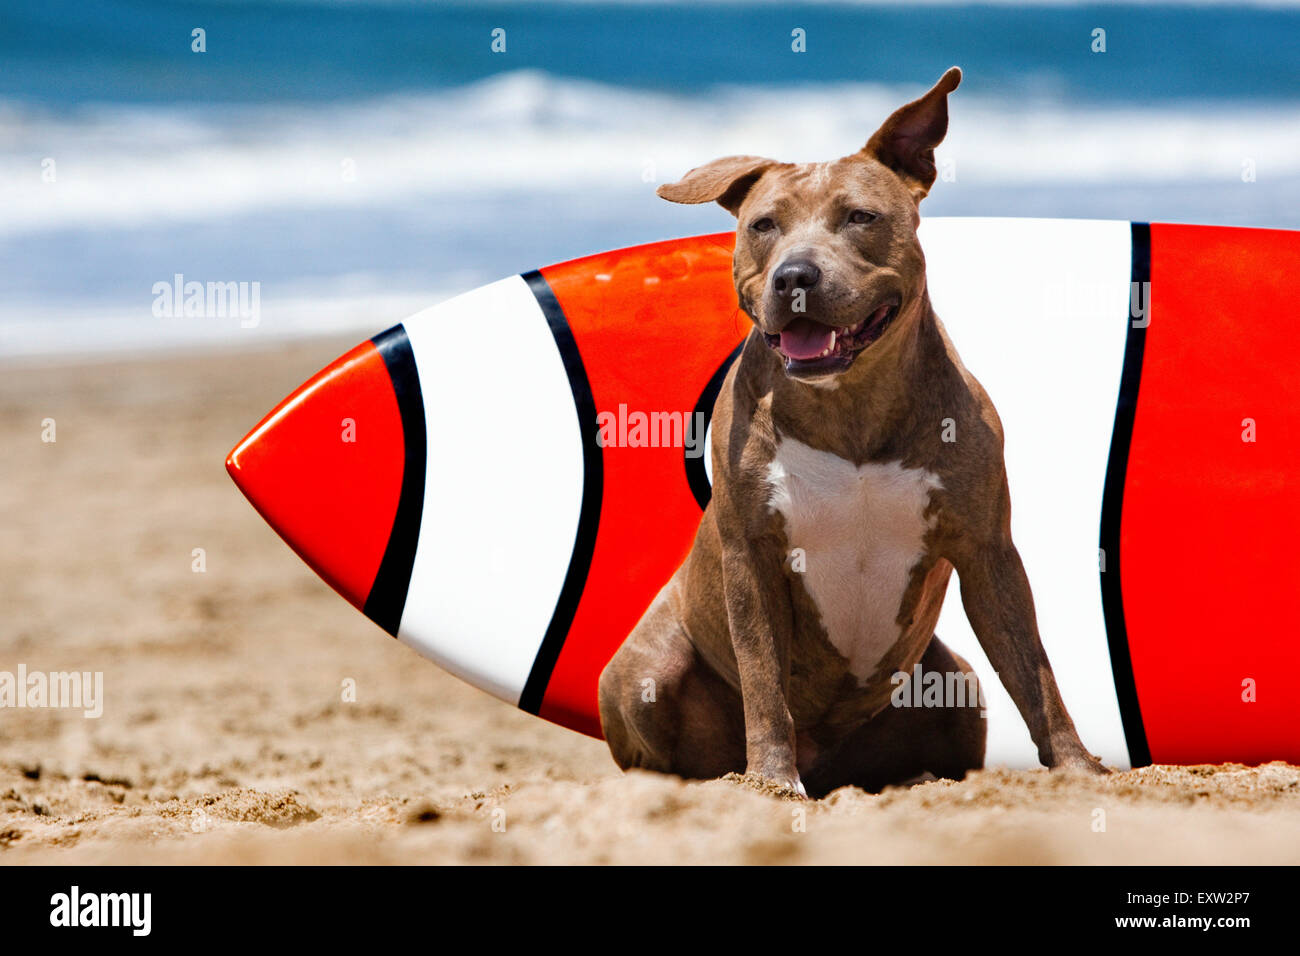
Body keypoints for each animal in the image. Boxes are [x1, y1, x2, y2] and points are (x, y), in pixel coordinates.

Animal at [598, 69, 1107, 801]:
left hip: (956, 682)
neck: (850, 408)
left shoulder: (988, 551)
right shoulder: (752, 558)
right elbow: (764, 682)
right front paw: (772, 779)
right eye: (763, 225)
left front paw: (1077, 766)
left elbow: (1034, 670)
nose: (795, 275)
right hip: (647, 673)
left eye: (860, 217)